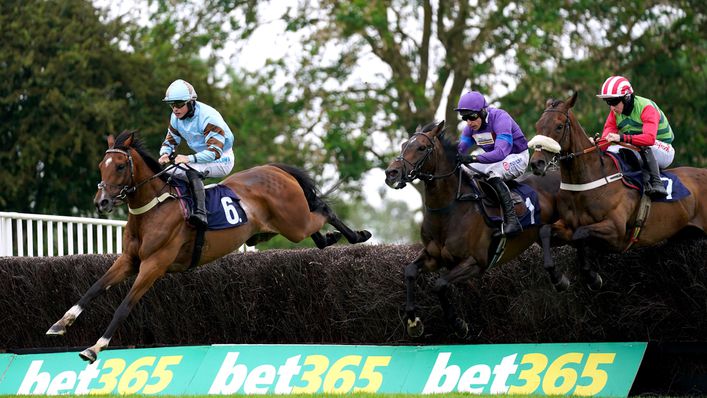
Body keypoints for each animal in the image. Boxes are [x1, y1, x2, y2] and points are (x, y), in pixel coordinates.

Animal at [47, 129, 374, 362]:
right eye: (101, 165)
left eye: (118, 166)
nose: (101, 202)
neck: (153, 207)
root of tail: (275, 169)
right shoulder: (129, 260)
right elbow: (93, 288)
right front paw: (60, 323)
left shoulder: (154, 265)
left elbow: (125, 306)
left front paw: (95, 347)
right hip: (283, 225)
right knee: (316, 221)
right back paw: (329, 239)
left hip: (294, 223)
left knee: (323, 210)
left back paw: (358, 236)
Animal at [384, 119, 568, 338]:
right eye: (404, 145)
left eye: (421, 147)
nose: (391, 173)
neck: (450, 209)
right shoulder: (433, 257)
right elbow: (410, 271)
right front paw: (413, 321)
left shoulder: (475, 262)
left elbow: (439, 284)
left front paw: (458, 324)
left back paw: (561, 278)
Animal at [532, 91, 707, 278]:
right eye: (537, 125)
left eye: (558, 126)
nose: (536, 163)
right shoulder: (567, 225)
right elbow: (545, 231)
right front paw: (557, 277)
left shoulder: (616, 231)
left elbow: (580, 234)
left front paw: (591, 276)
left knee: (646, 147)